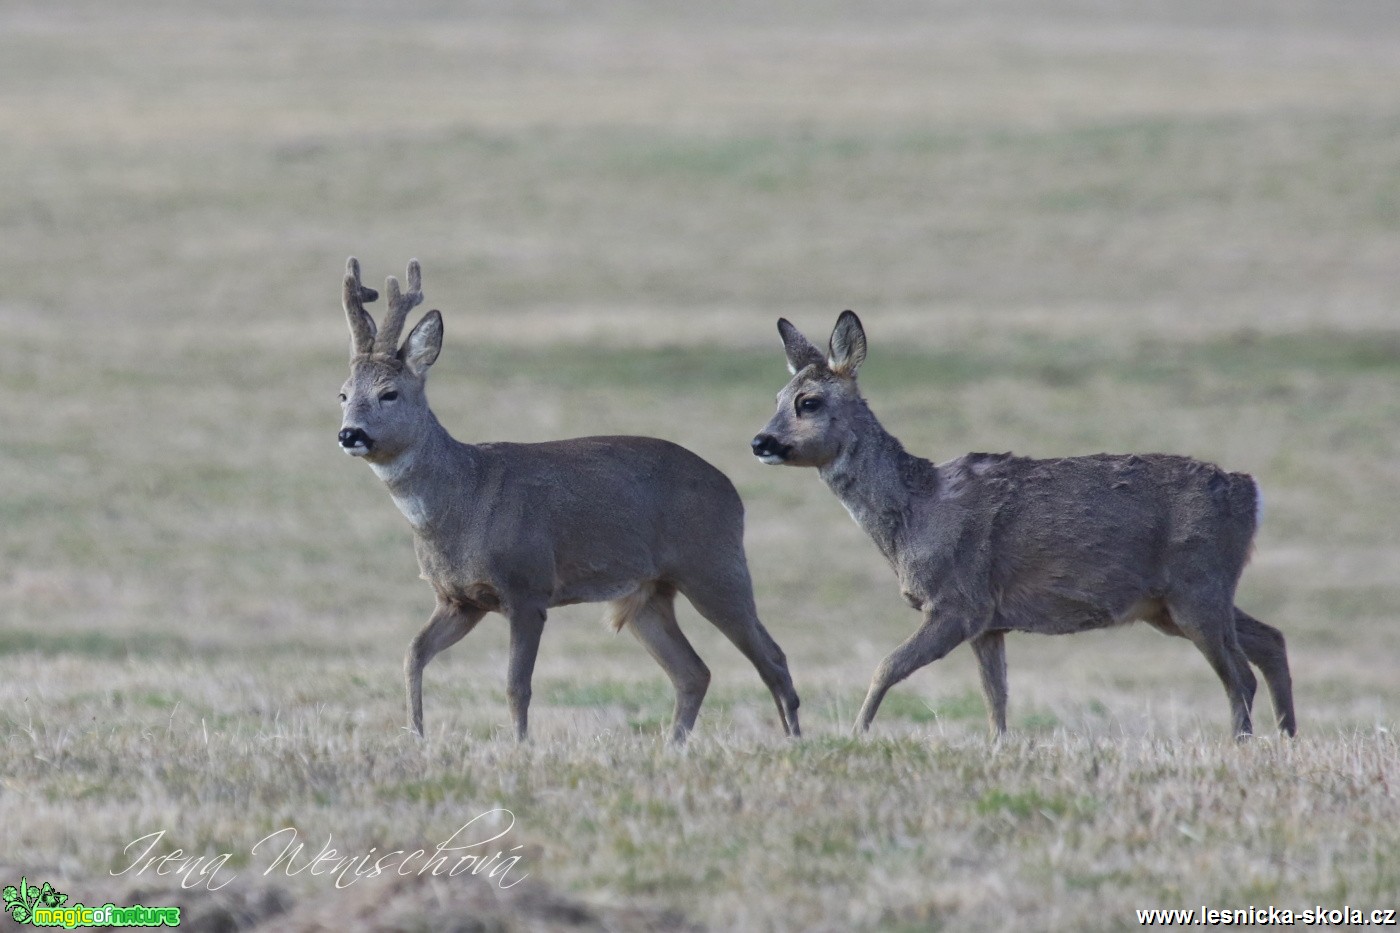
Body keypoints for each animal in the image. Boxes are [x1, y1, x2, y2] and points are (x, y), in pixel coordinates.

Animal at [336, 257, 800, 739]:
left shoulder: (528, 587)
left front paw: (521, 745)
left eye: (389, 393)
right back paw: (676, 744)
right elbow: (412, 654)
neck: (462, 501)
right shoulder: (457, 600)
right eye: (343, 394)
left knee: (772, 657)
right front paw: (416, 735)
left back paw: (792, 740)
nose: (350, 434)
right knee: (693, 672)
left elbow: (516, 685)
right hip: (649, 592)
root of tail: (732, 491)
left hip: (714, 565)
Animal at [750, 308, 1293, 739]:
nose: (760, 442)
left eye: (809, 401)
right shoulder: (990, 622)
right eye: (776, 396)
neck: (915, 514)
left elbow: (886, 667)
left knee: (1239, 674)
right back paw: (1285, 738)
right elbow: (997, 701)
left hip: (1196, 584)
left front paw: (855, 735)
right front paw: (997, 749)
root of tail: (1252, 493)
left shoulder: (959, 602)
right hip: (1176, 601)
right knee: (1270, 640)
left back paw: (1241, 744)